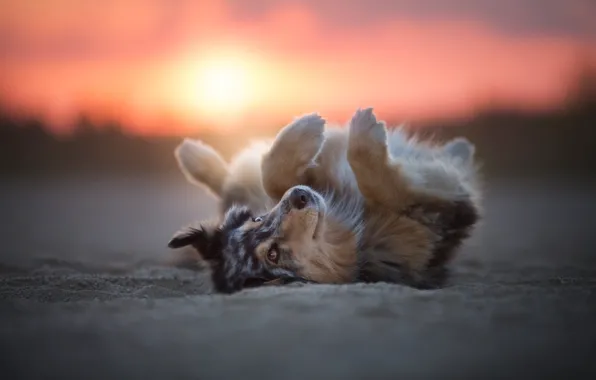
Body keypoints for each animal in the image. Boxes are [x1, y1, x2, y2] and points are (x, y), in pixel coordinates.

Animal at [166, 107, 480, 294]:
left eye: (259, 218)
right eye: (273, 255)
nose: (300, 196)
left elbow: (272, 173)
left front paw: (305, 131)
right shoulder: (439, 214)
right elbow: (384, 180)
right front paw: (365, 131)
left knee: (230, 179)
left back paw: (191, 154)